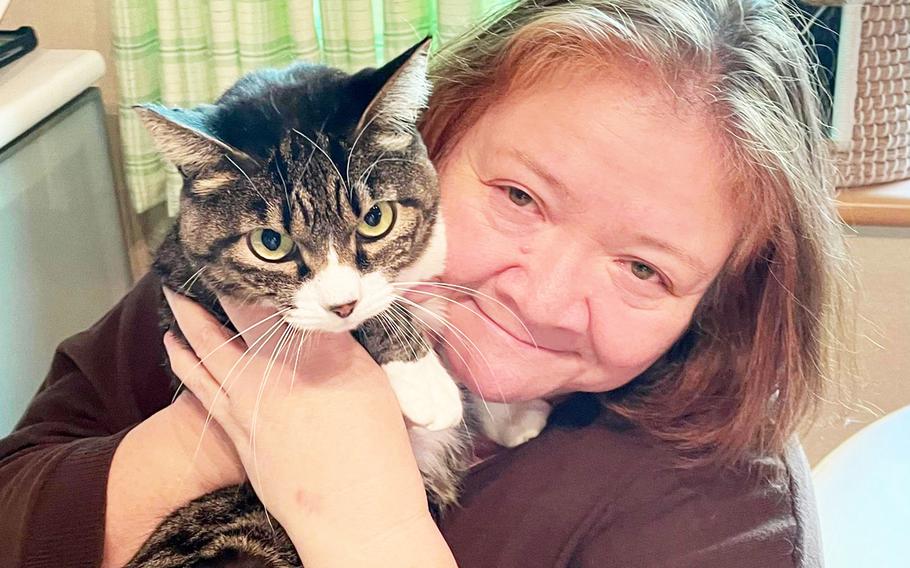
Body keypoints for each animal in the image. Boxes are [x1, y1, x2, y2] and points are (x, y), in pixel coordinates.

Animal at [128, 40, 548, 568]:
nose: (343, 305)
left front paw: (511, 414)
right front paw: (426, 381)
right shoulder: (189, 289)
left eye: (376, 219)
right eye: (270, 243)